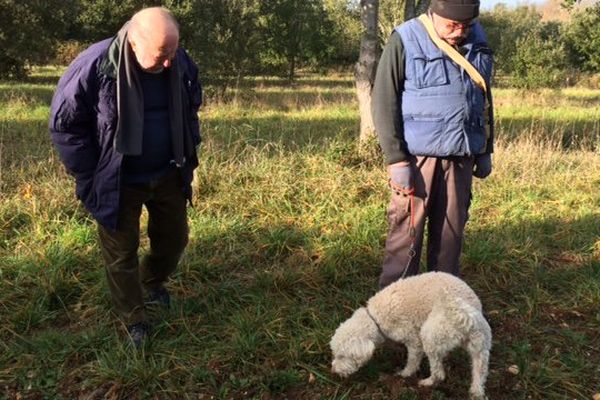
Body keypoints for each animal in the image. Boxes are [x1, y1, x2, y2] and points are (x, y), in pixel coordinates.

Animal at [330, 270, 490, 398]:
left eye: (342, 356)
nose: (333, 371)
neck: (375, 318)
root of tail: (466, 317)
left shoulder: (414, 340)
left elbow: (412, 361)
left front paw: (404, 375)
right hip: (481, 349)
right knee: (479, 374)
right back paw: (476, 393)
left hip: (430, 336)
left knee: (438, 373)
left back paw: (426, 382)